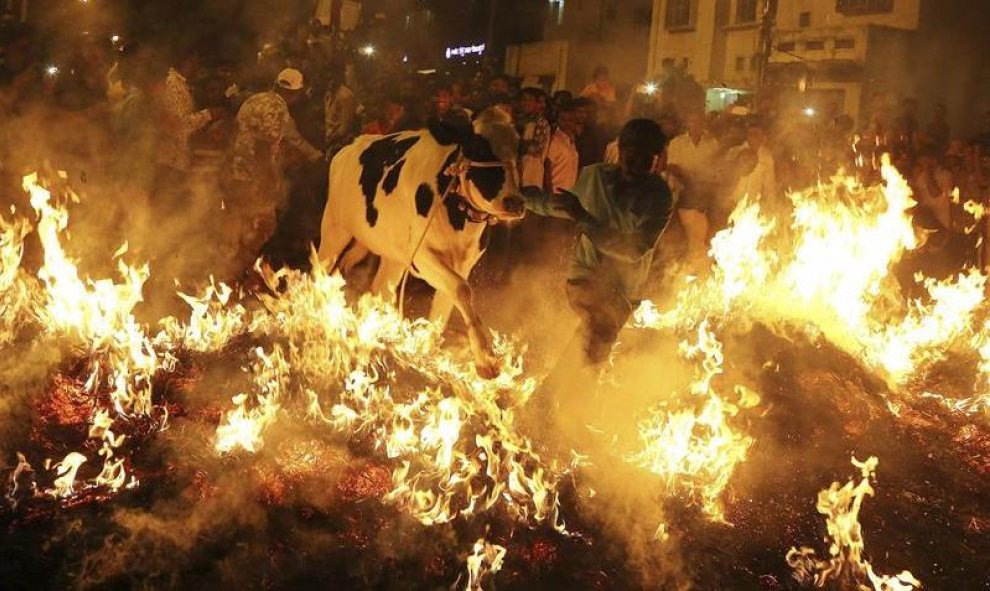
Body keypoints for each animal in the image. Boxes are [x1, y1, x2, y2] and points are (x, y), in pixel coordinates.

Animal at [324, 108, 532, 376]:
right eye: (477, 147)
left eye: (519, 149)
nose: (514, 202)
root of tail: (350, 144)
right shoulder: (423, 256)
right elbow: (462, 289)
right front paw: (486, 359)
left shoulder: (464, 263)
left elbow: (449, 300)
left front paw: (427, 351)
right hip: (334, 228)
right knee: (321, 267)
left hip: (394, 255)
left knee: (380, 289)